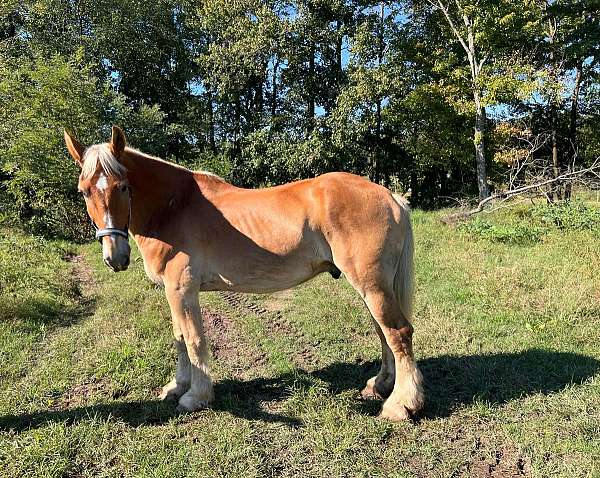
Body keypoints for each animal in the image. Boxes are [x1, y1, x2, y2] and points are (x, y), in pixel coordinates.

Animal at [63, 125, 424, 420]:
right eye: (84, 191)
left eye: (123, 186)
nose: (115, 257)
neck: (173, 207)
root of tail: (391, 196)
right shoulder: (172, 292)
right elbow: (180, 339)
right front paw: (176, 387)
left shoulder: (182, 290)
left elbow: (193, 340)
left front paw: (195, 396)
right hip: (373, 286)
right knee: (384, 332)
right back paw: (380, 385)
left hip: (371, 284)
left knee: (398, 332)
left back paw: (401, 405)